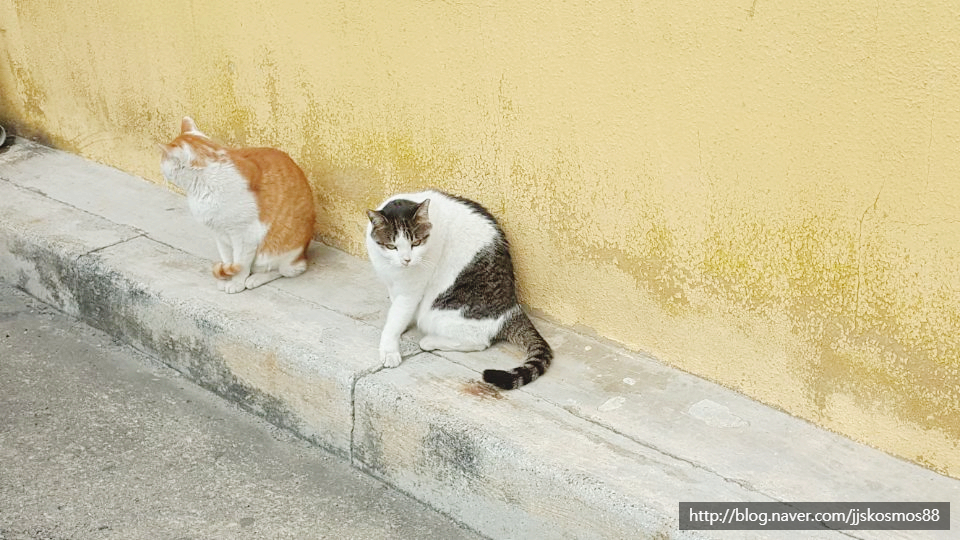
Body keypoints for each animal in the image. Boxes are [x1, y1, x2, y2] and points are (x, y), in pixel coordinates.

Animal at [160, 116, 316, 294]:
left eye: (163, 160)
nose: (160, 169)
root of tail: (304, 254)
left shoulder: (244, 236)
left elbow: (241, 264)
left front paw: (236, 282)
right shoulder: (220, 234)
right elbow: (228, 258)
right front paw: (226, 276)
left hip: (281, 254)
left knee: (284, 270)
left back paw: (256, 278)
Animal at [364, 190, 552, 388]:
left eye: (416, 243)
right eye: (391, 246)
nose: (406, 260)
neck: (393, 269)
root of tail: (511, 308)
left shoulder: (411, 291)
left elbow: (395, 319)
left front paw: (389, 350)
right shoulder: (393, 284)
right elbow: (397, 312)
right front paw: (403, 326)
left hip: (437, 315)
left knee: (480, 341)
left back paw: (430, 341)